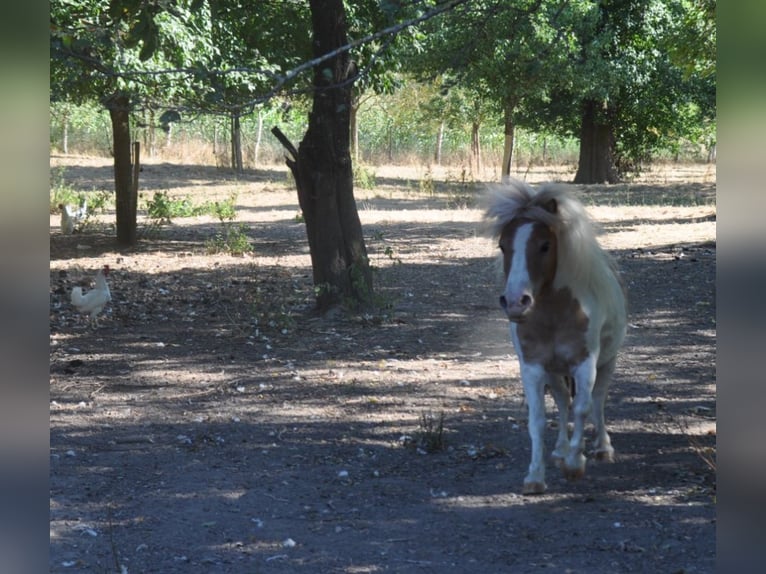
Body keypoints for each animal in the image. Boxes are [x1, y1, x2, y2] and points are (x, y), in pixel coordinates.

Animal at [488, 180, 628, 496]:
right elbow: (538, 420)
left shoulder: (585, 364)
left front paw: (575, 464)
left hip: (607, 363)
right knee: (563, 402)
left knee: (597, 401)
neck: (553, 315)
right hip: (554, 373)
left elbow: (583, 408)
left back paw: (602, 448)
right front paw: (535, 476)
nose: (515, 302)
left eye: (545, 245)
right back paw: (561, 450)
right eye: (503, 245)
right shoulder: (533, 368)